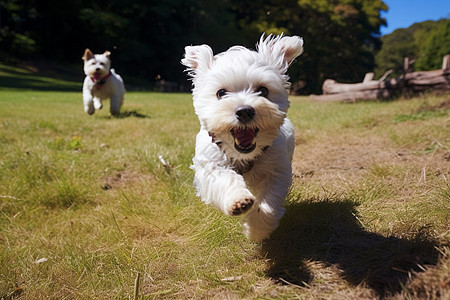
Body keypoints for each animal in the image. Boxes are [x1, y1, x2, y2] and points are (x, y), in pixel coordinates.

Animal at [181, 34, 304, 240]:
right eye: (221, 92)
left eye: (263, 90)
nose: (244, 110)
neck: (243, 155)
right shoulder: (211, 164)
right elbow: (225, 178)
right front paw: (239, 201)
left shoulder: (276, 170)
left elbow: (268, 204)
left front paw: (256, 230)